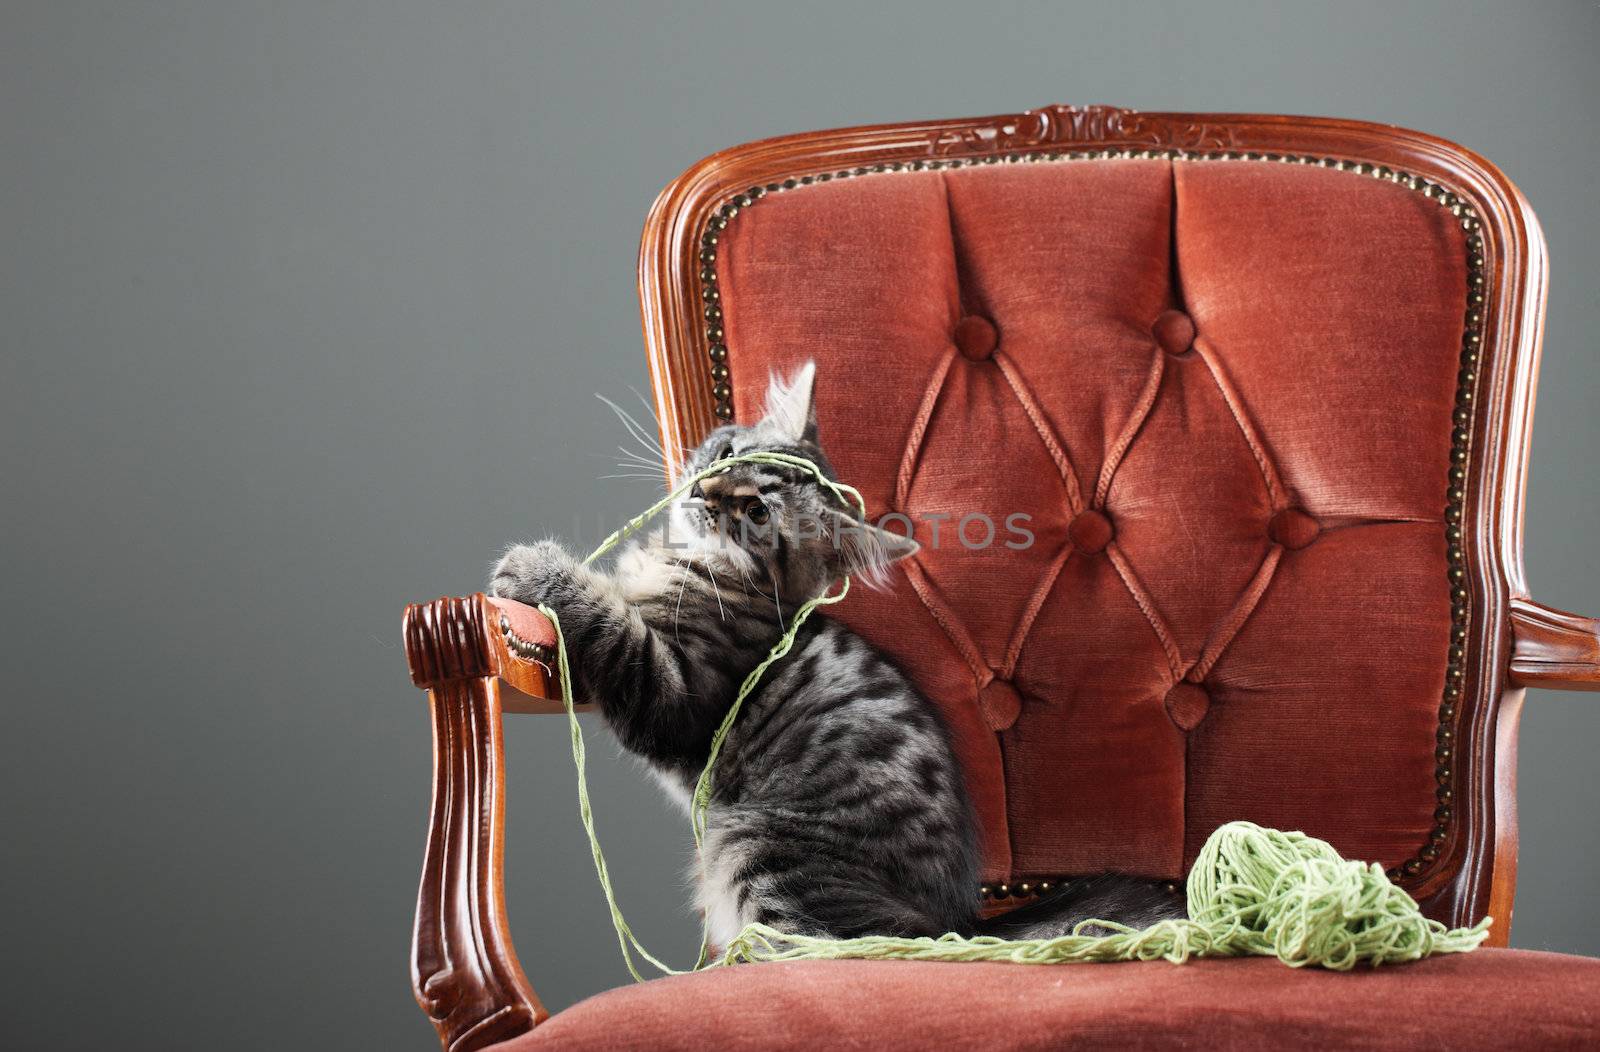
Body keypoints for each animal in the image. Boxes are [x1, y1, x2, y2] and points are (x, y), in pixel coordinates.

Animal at [492, 364, 1184, 946]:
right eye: (729, 454)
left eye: (754, 510)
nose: (705, 490)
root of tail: (958, 922)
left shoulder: (673, 689)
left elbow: (606, 619)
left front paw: (536, 568)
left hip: (755, 847)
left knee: (842, 946)